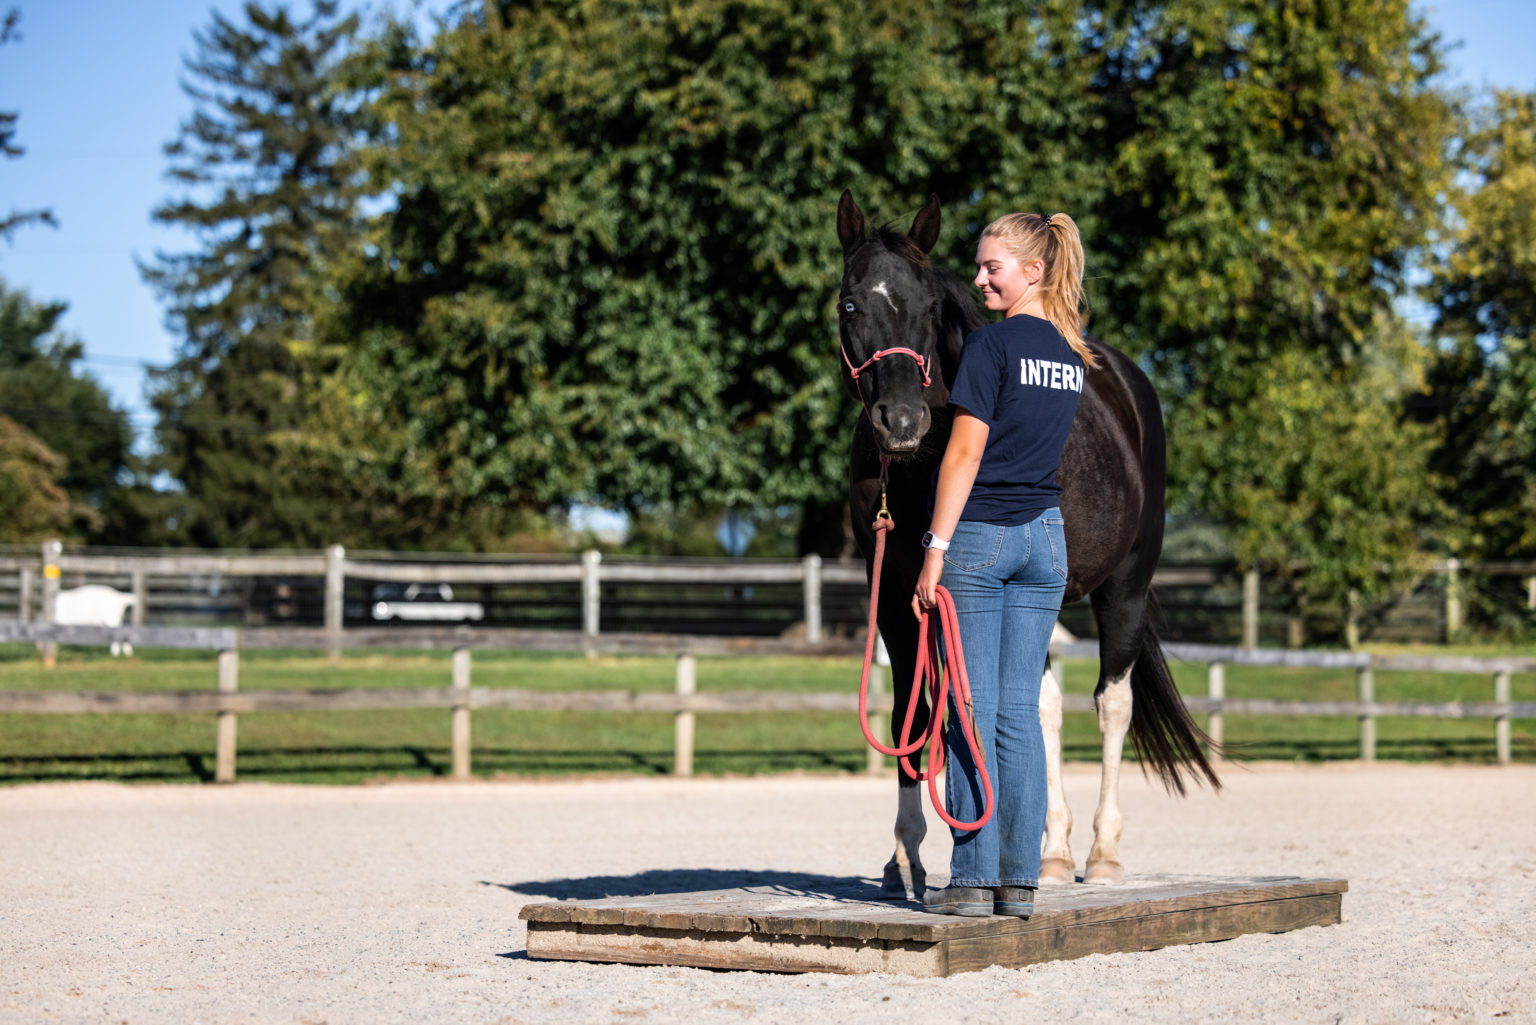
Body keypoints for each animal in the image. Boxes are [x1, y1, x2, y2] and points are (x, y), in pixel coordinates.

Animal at [835, 190, 1219, 896]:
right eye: (851, 305)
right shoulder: (898, 600)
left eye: (927, 306)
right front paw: (905, 858)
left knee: (1111, 704)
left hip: (1124, 588)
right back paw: (1054, 851)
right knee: (1041, 707)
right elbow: (914, 710)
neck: (919, 468)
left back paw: (1101, 853)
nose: (901, 421)